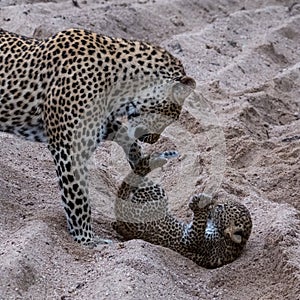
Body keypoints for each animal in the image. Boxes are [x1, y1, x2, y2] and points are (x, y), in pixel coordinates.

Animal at [0, 27, 196, 245]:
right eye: (171, 116)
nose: (153, 139)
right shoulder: (70, 147)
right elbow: (78, 197)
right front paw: (87, 239)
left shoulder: (101, 125)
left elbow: (128, 138)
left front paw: (141, 171)